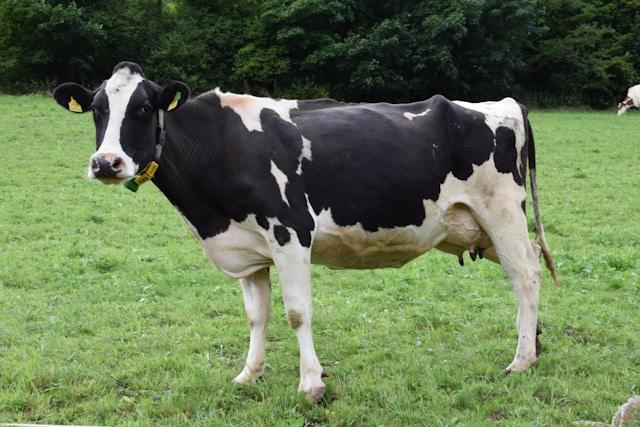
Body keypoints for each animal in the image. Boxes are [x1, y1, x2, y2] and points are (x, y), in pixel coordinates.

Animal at [53, 61, 557, 402]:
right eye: (97, 110)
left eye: (142, 108)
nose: (106, 163)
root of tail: (503, 104)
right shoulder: (248, 250)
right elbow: (256, 316)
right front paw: (249, 374)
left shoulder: (290, 234)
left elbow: (297, 313)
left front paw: (311, 383)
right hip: (480, 228)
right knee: (530, 268)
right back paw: (534, 344)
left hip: (502, 213)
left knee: (526, 277)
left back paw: (520, 361)